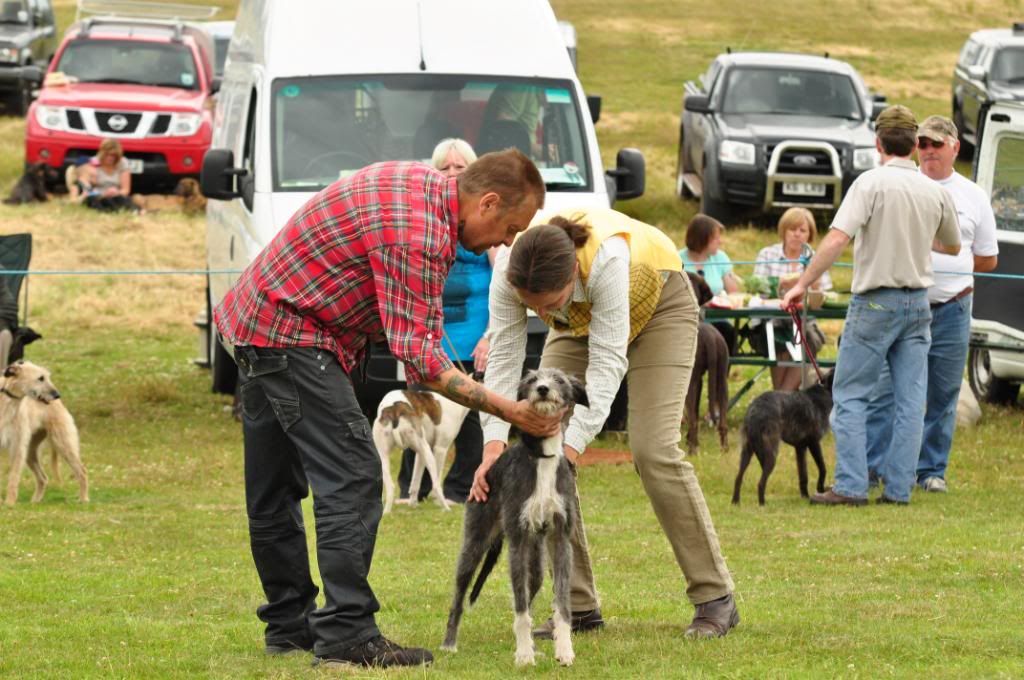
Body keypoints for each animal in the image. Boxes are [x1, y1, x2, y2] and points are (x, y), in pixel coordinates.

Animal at [1, 360, 87, 503]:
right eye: (40, 378)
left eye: (47, 377)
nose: (57, 395)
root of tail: (59, 403)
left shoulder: (17, 446)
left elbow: (13, 477)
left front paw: (10, 503)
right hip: (31, 452)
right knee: (43, 478)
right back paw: (35, 501)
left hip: (63, 443)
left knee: (82, 471)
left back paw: (84, 499)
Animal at [444, 368, 589, 667]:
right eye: (532, 380)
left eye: (559, 379)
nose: (543, 389)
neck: (543, 457)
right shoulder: (518, 541)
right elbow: (520, 609)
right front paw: (523, 655)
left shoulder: (560, 539)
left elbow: (562, 605)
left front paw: (564, 650)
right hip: (475, 543)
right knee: (459, 597)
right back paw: (449, 644)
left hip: (536, 564)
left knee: (532, 589)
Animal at [684, 270, 733, 450]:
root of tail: (711, 338)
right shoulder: (699, 380)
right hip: (722, 378)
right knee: (723, 421)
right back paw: (724, 449)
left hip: (690, 382)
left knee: (692, 420)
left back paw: (692, 449)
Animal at [729, 368, 831, 507]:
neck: (825, 389)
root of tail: (754, 411)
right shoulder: (814, 442)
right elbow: (822, 468)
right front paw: (820, 489)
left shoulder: (800, 448)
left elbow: (803, 475)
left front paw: (805, 496)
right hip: (771, 453)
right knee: (761, 483)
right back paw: (762, 504)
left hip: (747, 452)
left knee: (738, 478)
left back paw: (736, 502)